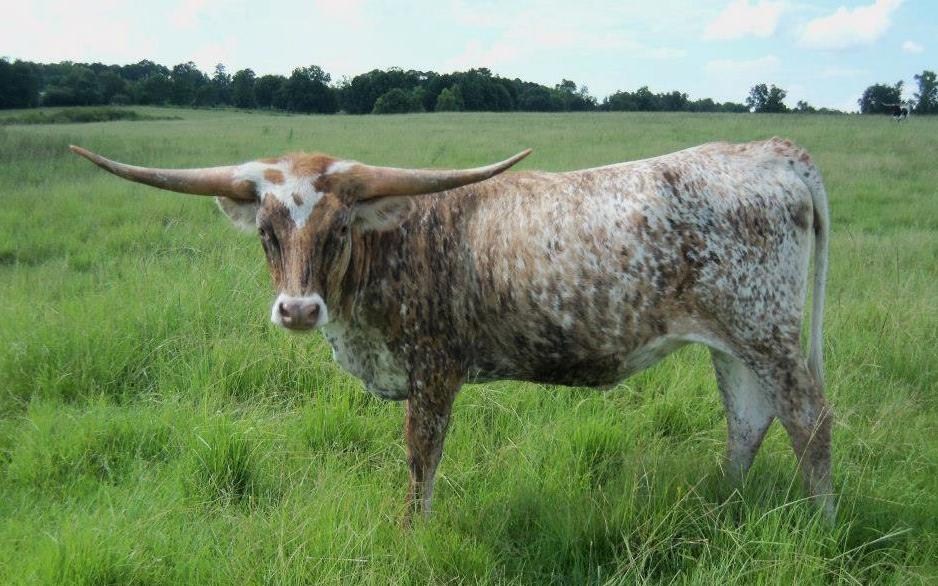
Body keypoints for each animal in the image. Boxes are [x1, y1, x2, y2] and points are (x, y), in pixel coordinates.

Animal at [70, 137, 833, 522]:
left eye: (338, 229)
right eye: (266, 231)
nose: (298, 310)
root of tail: (770, 150)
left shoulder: (434, 371)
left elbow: (421, 458)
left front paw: (415, 533)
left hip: (769, 332)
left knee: (808, 420)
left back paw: (819, 521)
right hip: (732, 340)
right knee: (748, 418)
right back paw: (720, 503)